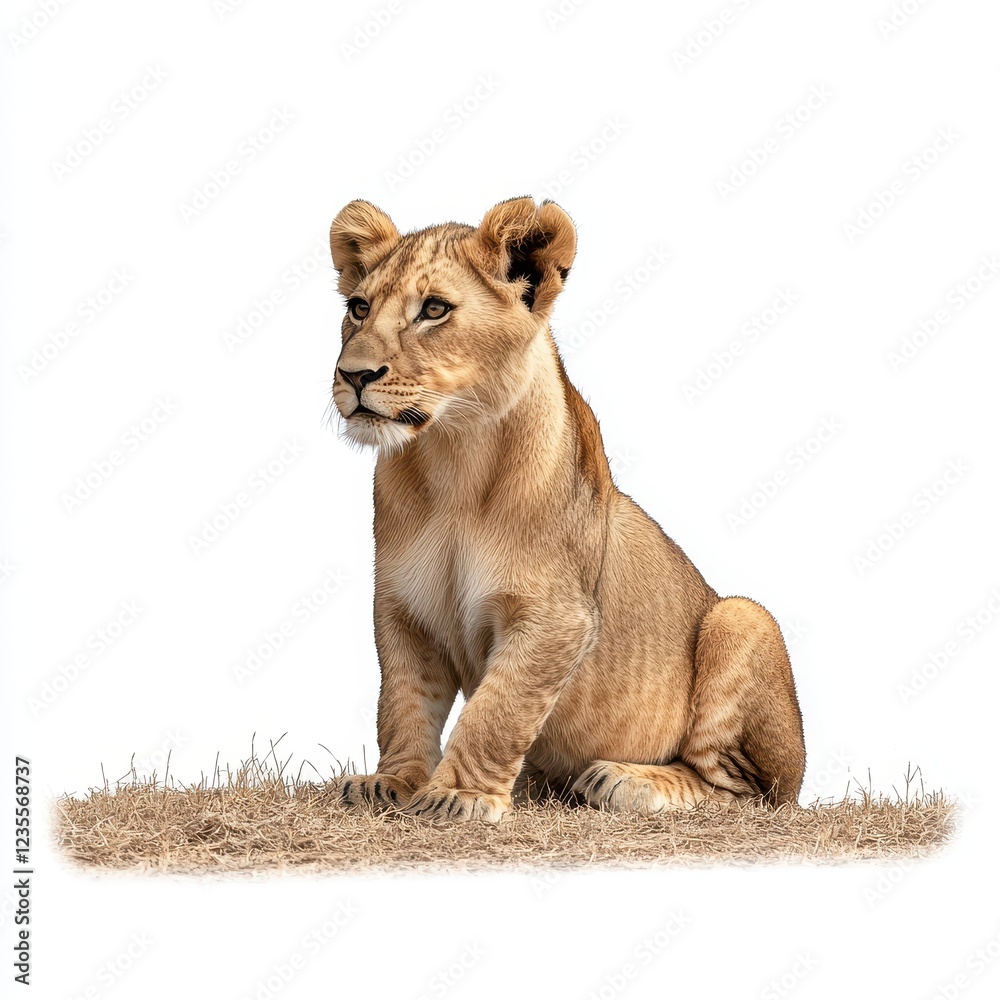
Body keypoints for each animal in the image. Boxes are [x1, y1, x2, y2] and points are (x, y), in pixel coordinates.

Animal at [328, 196, 805, 824]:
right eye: (358, 308)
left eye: (433, 309)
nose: (353, 375)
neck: (452, 461)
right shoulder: (404, 608)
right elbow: (404, 704)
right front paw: (393, 783)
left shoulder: (556, 614)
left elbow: (497, 710)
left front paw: (460, 797)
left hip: (744, 620)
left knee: (741, 791)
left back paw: (624, 781)